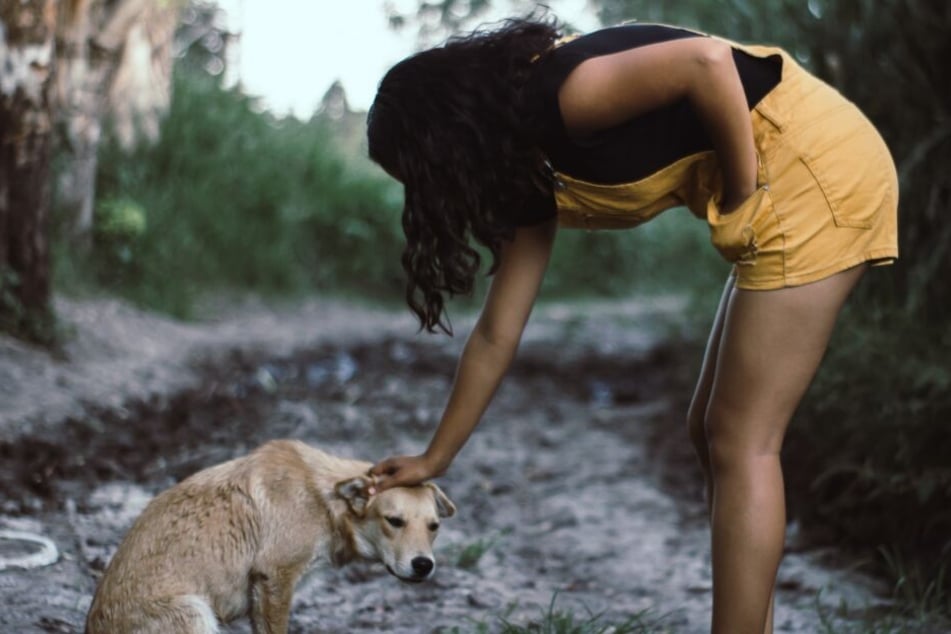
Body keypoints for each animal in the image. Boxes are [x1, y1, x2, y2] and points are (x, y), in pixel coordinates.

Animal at [83, 436, 456, 632]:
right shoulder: (275, 579)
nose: (424, 565)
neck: (323, 500)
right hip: (195, 612)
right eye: (394, 521)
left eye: (434, 527)